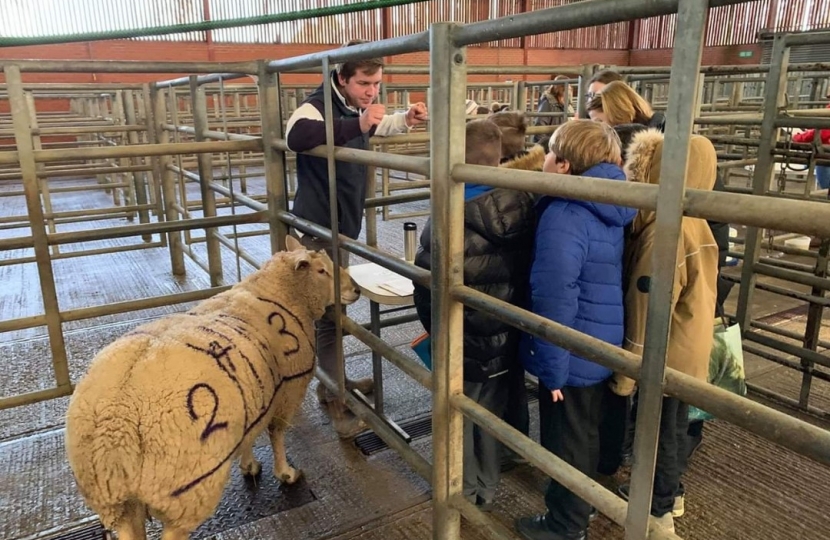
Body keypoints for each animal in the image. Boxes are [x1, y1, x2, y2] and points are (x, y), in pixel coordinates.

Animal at [63, 237, 362, 540]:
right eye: (322, 270)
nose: (357, 289)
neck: (277, 292)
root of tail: (116, 418)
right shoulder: (286, 394)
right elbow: (277, 436)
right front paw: (286, 473)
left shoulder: (255, 396)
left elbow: (249, 434)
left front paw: (249, 465)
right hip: (185, 486)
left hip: (115, 500)